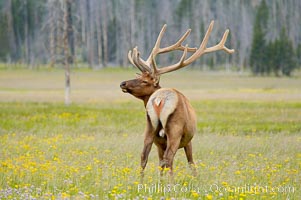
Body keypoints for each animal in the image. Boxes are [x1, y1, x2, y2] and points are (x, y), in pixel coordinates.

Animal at [119, 19, 234, 173]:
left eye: (144, 80)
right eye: (139, 78)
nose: (123, 83)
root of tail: (159, 100)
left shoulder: (160, 143)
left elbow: (160, 163)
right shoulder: (188, 140)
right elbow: (191, 163)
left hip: (150, 127)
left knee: (144, 157)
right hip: (175, 130)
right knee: (168, 158)